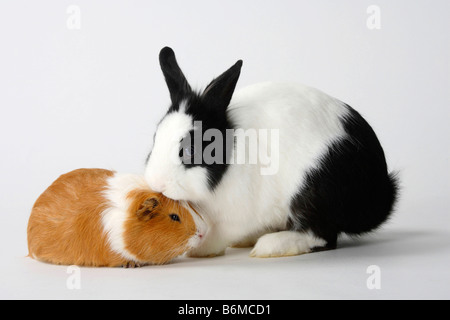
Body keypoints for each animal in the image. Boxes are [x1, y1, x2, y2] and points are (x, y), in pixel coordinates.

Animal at [144, 47, 398, 258]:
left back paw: (269, 246)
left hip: (316, 194)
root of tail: (378, 192)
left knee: (321, 236)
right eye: (155, 139)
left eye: (189, 150)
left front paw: (200, 250)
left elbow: (220, 234)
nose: (157, 183)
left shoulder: (235, 214)